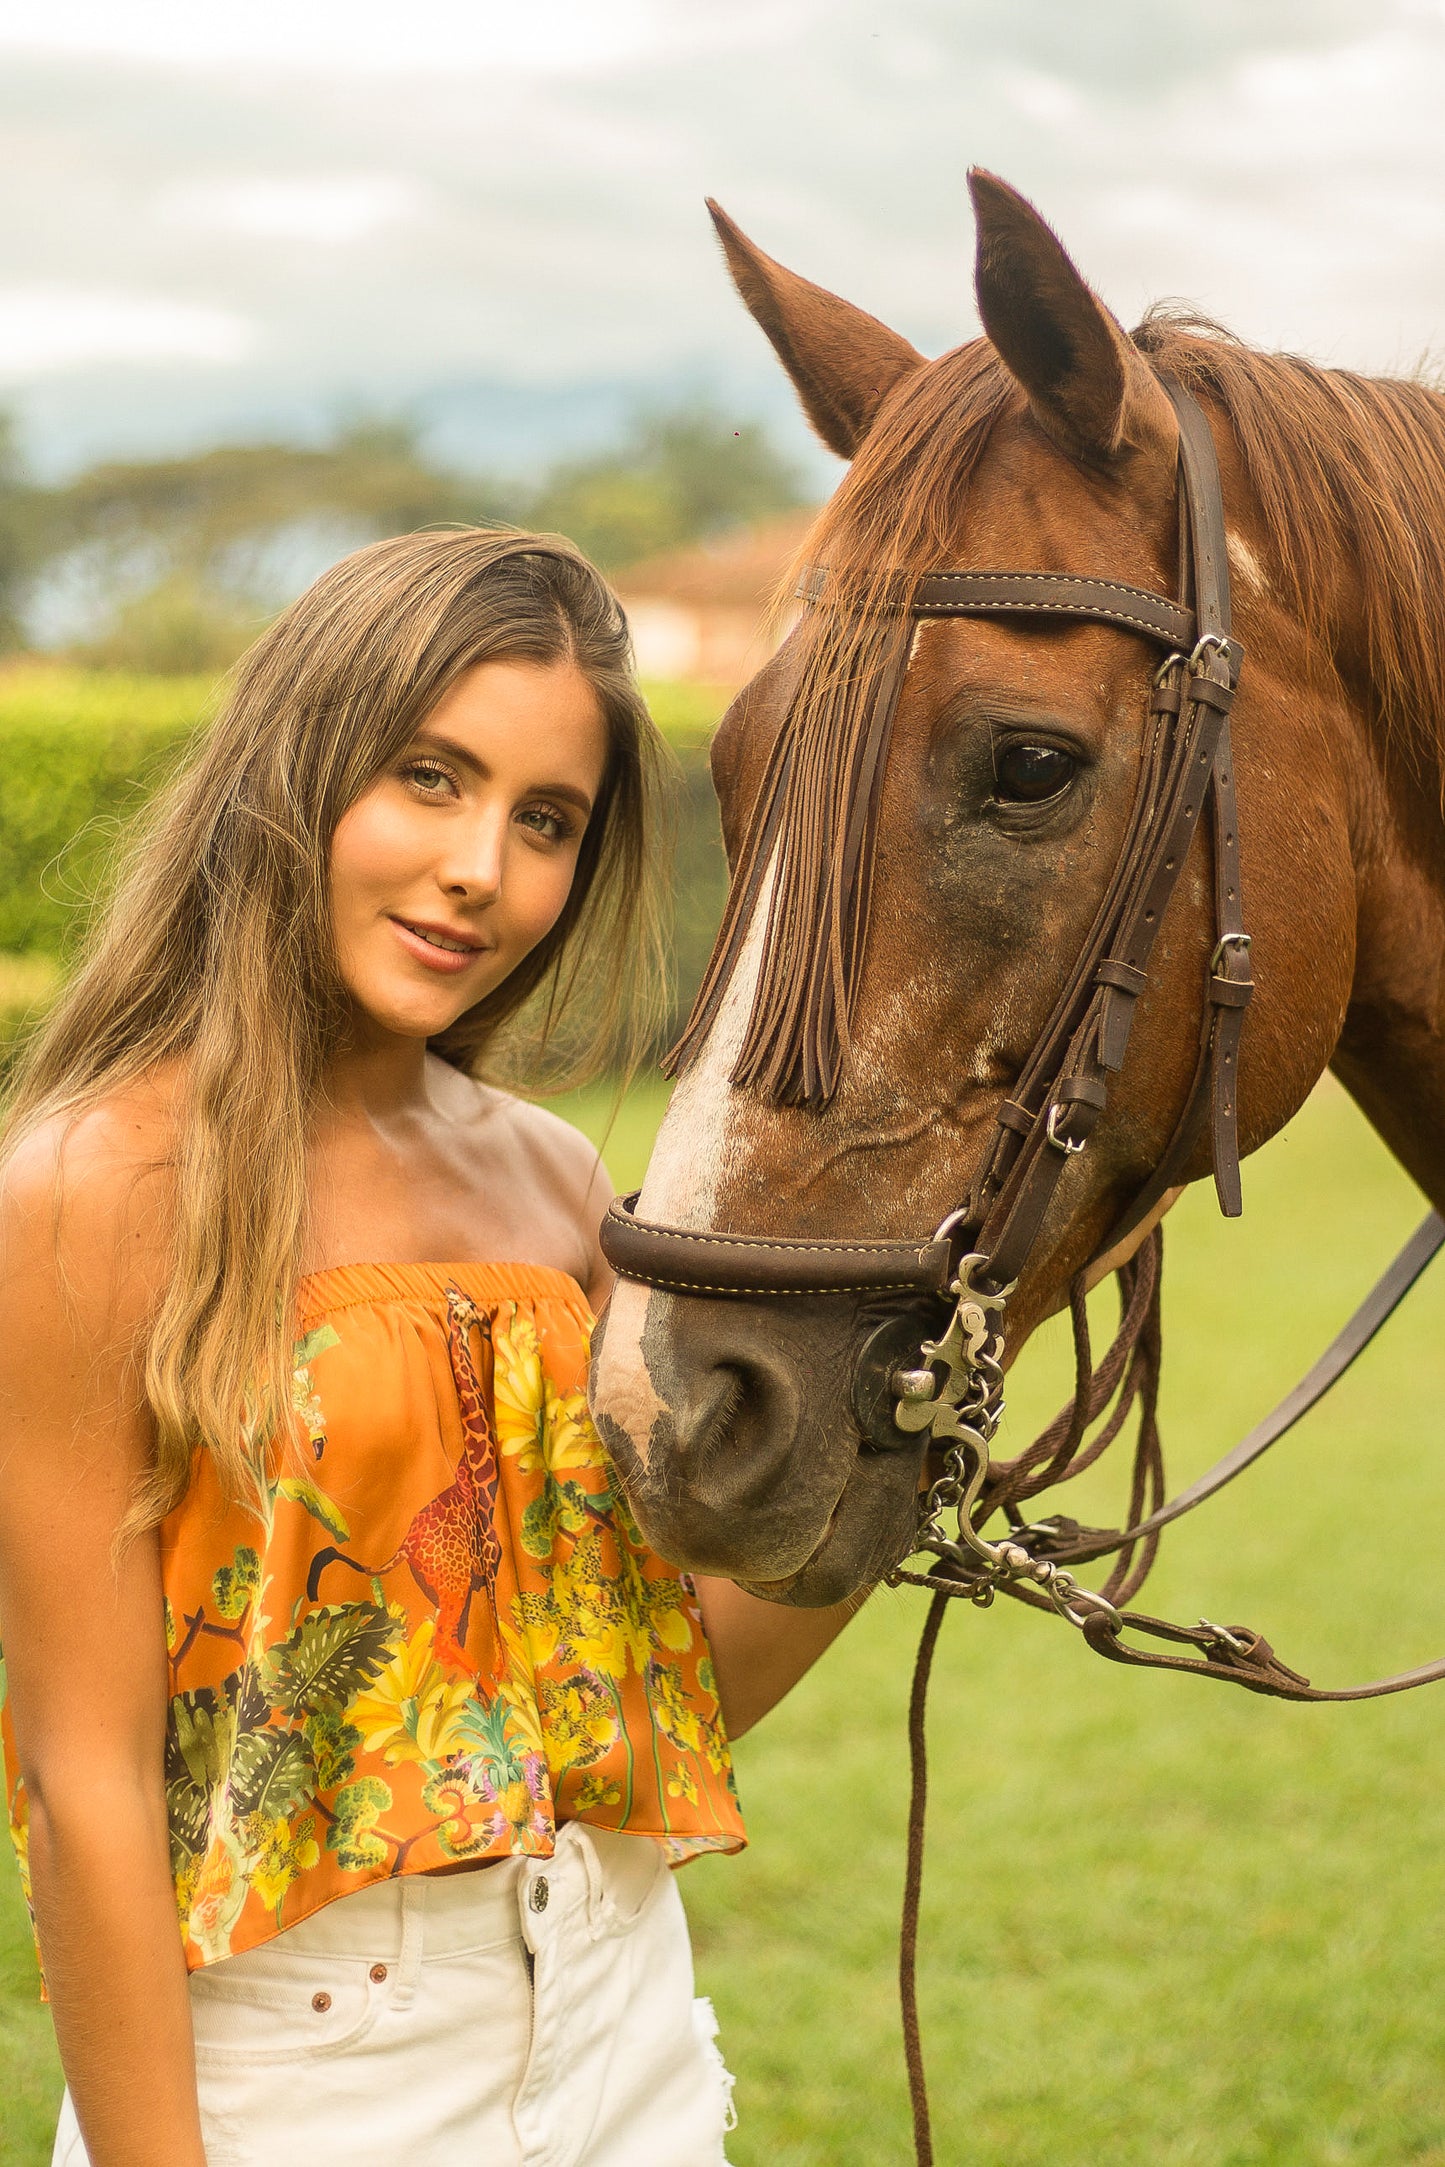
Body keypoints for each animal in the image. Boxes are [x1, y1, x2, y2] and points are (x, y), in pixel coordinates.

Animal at [307, 1286, 504, 1674]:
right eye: (467, 1306)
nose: (486, 1322)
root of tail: (405, 1546)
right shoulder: (488, 1565)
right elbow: (499, 1633)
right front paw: (505, 1673)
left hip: (439, 1586)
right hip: (452, 1582)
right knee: (442, 1640)